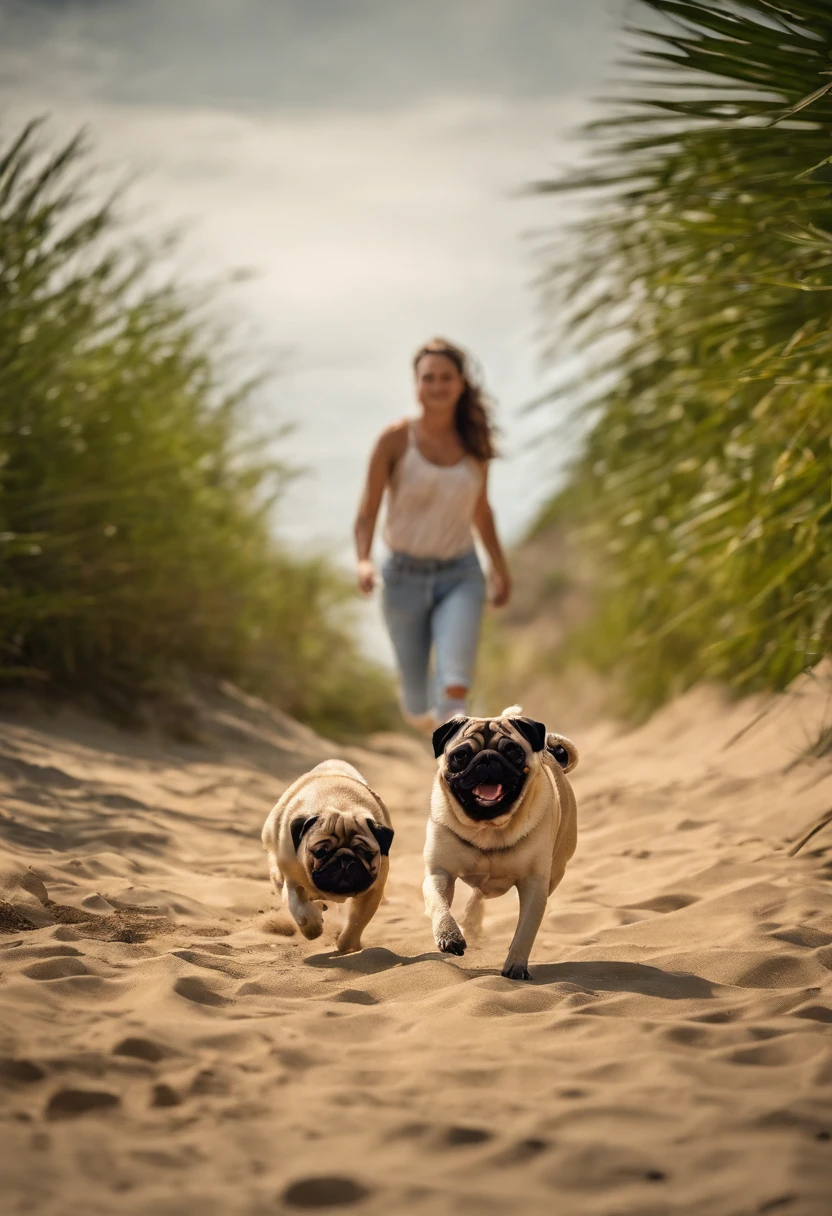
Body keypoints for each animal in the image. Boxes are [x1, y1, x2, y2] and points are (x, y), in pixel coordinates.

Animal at [262, 758, 396, 948]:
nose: (345, 858)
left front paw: (348, 946)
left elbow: (356, 922)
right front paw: (312, 928)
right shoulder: (293, 880)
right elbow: (300, 908)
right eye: (320, 852)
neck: (341, 804)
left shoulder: (373, 892)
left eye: (365, 852)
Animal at [425, 710, 574, 982]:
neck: (487, 827)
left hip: (556, 871)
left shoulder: (535, 884)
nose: (487, 757)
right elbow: (439, 903)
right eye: (461, 755)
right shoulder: (439, 872)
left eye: (513, 751)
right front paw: (449, 937)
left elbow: (525, 929)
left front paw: (516, 966)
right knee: (476, 896)